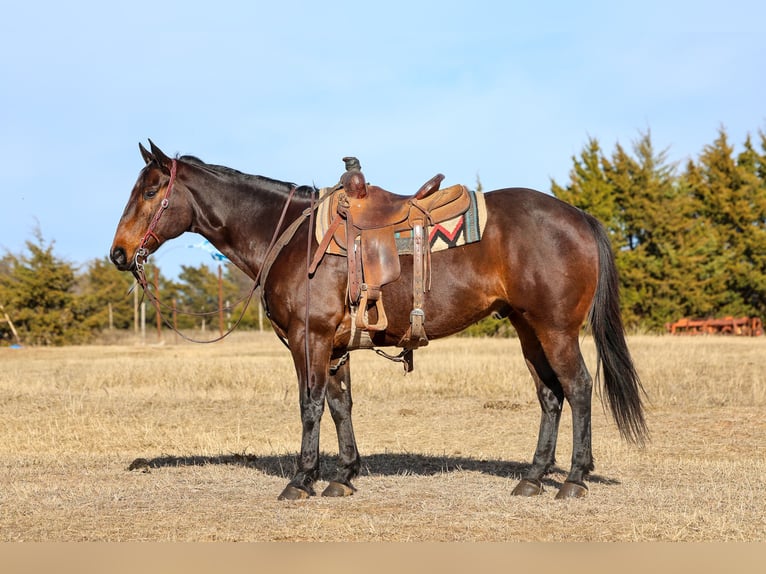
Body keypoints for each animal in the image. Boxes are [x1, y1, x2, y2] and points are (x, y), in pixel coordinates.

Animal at [110, 140, 647, 500]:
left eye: (152, 190)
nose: (117, 253)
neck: (291, 237)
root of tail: (579, 217)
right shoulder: (334, 345)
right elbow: (340, 405)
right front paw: (343, 477)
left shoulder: (310, 339)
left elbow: (310, 406)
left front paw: (301, 480)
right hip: (527, 328)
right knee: (550, 396)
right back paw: (533, 479)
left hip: (556, 330)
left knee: (577, 389)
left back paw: (573, 480)